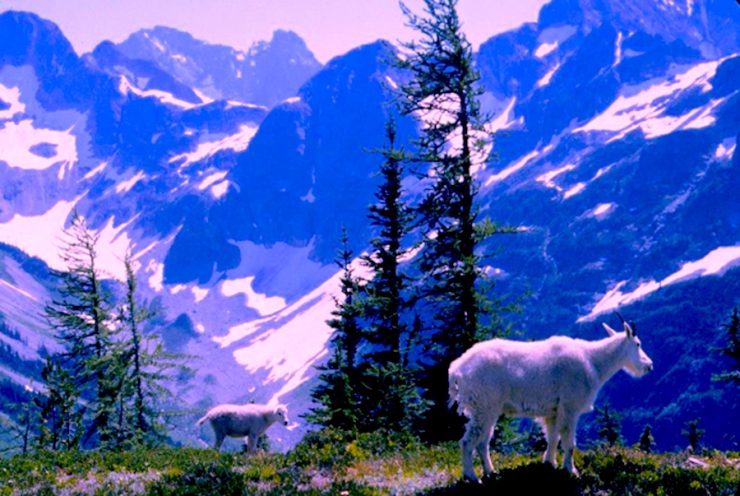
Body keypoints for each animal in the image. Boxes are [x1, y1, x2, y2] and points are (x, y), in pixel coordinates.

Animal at [448, 316, 652, 482]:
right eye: (638, 344)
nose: (649, 365)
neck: (593, 361)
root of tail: (457, 370)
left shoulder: (553, 411)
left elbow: (553, 437)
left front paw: (549, 463)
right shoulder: (570, 407)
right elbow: (569, 442)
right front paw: (571, 471)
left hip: (489, 409)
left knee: (483, 442)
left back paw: (491, 472)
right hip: (483, 406)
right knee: (468, 441)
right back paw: (472, 476)